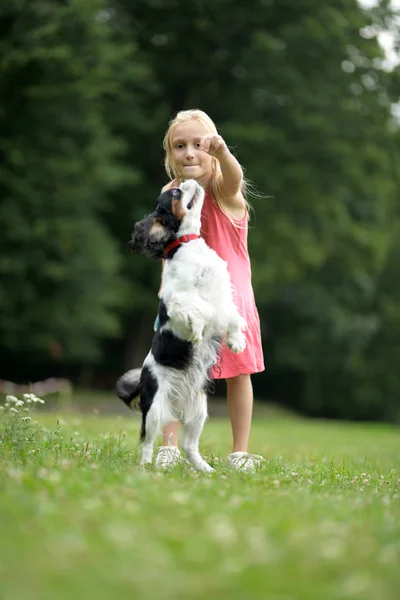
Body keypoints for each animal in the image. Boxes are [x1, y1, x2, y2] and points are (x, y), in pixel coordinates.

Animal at [117, 180, 245, 472]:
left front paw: (236, 342)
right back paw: (145, 468)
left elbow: (231, 315)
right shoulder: (178, 301)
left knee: (189, 446)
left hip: (199, 410)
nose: (186, 181)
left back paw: (206, 470)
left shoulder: (222, 294)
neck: (188, 245)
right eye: (174, 193)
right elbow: (198, 310)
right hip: (155, 409)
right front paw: (197, 333)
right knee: (148, 442)